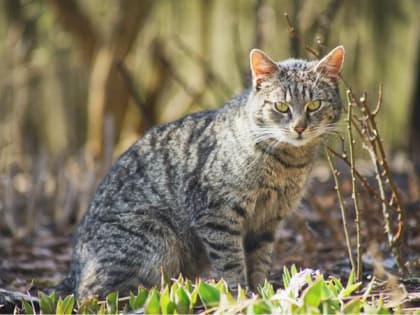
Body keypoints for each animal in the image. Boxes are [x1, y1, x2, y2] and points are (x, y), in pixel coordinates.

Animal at [55, 45, 344, 298]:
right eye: (281, 106)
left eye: (315, 105)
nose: (299, 127)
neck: (288, 163)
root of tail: (73, 269)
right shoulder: (217, 214)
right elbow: (231, 262)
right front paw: (241, 295)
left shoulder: (268, 222)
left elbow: (259, 262)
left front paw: (262, 292)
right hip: (154, 237)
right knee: (91, 294)